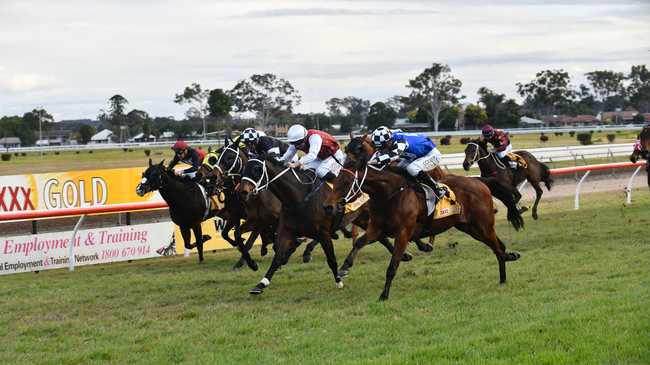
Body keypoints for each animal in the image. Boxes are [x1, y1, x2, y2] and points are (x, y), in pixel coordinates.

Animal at [326, 135, 520, 300]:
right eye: (336, 180)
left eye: (345, 183)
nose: (329, 206)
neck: (389, 193)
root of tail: (479, 181)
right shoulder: (377, 228)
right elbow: (359, 242)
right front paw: (343, 269)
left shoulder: (403, 234)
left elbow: (392, 266)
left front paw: (384, 295)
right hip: (470, 228)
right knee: (497, 246)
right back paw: (508, 262)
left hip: (483, 225)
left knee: (497, 247)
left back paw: (504, 274)